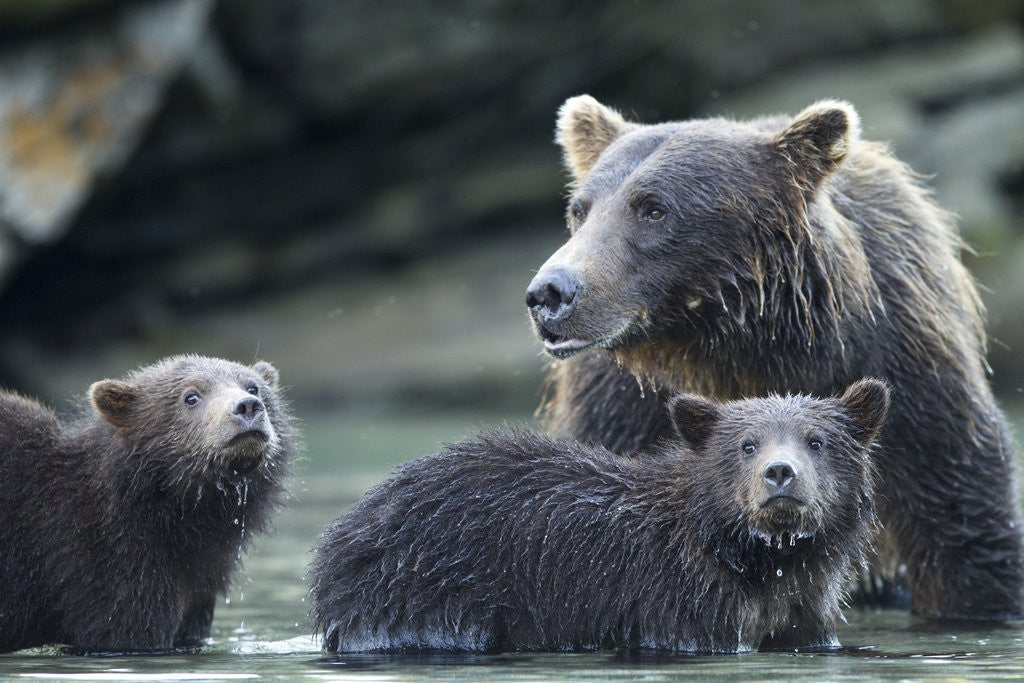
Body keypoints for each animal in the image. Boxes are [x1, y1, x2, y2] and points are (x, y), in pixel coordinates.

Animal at [309, 379, 889, 654]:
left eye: (816, 441)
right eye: (747, 445)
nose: (779, 473)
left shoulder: (801, 606)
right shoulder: (678, 599)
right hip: (421, 589)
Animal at [524, 96, 1024, 619]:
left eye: (653, 208)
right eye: (580, 210)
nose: (550, 292)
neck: (735, 346)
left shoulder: (903, 366)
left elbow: (958, 517)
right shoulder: (621, 403)